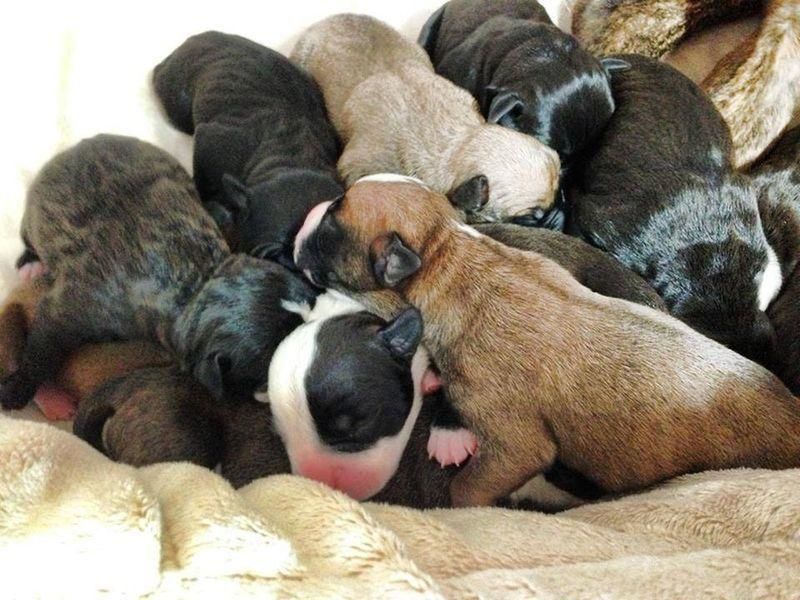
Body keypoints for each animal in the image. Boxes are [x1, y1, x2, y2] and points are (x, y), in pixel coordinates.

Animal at [0, 135, 316, 412]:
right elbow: (42, 350)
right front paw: (17, 390)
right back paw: (31, 264)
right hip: (32, 219)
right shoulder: (72, 310)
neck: (196, 285)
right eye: (267, 375)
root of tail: (76, 146)